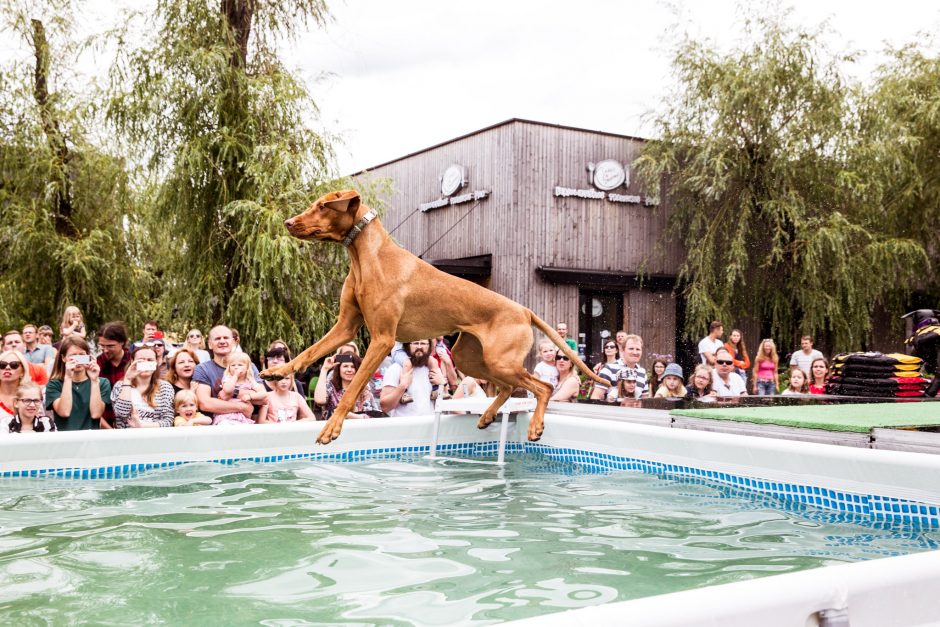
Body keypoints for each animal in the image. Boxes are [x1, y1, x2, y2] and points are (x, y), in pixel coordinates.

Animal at [260, 189, 604, 444]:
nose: (288, 222)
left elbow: (353, 387)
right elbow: (309, 352)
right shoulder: (345, 327)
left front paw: (331, 428)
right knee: (507, 388)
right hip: (471, 358)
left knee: (542, 387)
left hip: (499, 360)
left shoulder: (382, 339)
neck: (366, 257)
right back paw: (487, 415)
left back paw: (534, 427)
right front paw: (279, 371)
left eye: (322, 206)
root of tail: (524, 308)